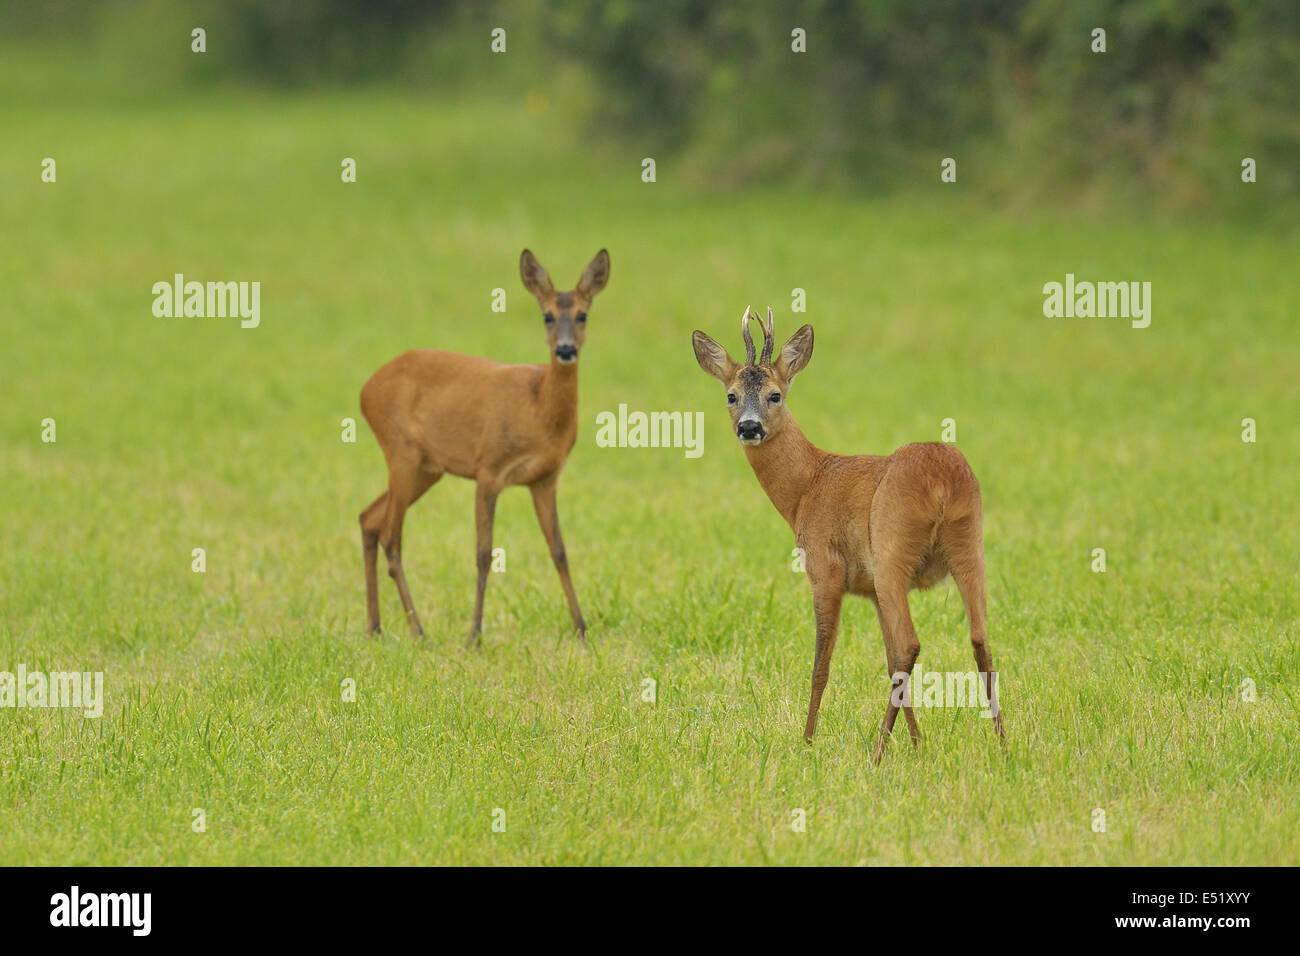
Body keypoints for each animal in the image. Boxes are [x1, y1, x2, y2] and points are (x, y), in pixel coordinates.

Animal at [356, 251, 608, 647]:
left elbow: (559, 551)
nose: (566, 349)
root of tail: (364, 391)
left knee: (369, 518)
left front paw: (581, 629)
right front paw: (474, 635)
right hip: (401, 451)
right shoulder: (488, 470)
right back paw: (418, 630)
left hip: (427, 468)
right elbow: (483, 553)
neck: (538, 409)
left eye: (583, 314)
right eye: (547, 315)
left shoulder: (545, 478)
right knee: (390, 537)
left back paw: (375, 627)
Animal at [691, 306, 1003, 764]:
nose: (749, 427)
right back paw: (1003, 743)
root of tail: (942, 484)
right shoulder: (870, 590)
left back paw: (876, 752)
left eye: (775, 395)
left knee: (911, 644)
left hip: (892, 553)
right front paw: (917, 743)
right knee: (977, 639)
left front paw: (806, 741)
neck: (808, 486)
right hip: (970, 547)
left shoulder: (825, 569)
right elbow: (887, 660)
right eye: (731, 395)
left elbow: (822, 662)